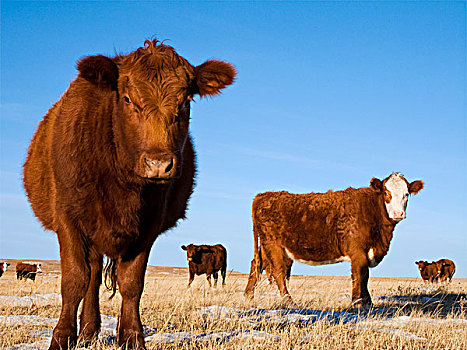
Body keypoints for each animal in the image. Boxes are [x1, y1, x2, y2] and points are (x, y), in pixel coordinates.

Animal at [23, 38, 236, 350]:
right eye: (126, 98)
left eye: (186, 100)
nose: (159, 164)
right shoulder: (68, 219)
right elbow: (74, 279)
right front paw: (62, 338)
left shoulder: (149, 226)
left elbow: (132, 283)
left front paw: (133, 337)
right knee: (91, 275)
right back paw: (86, 331)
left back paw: (90, 330)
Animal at [245, 172, 424, 306]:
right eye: (386, 193)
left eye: (406, 194)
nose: (398, 214)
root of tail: (263, 196)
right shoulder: (357, 252)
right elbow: (359, 276)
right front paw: (357, 304)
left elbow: (365, 279)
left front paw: (368, 304)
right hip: (273, 244)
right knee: (278, 272)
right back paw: (289, 302)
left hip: (268, 247)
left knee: (257, 265)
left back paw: (248, 297)